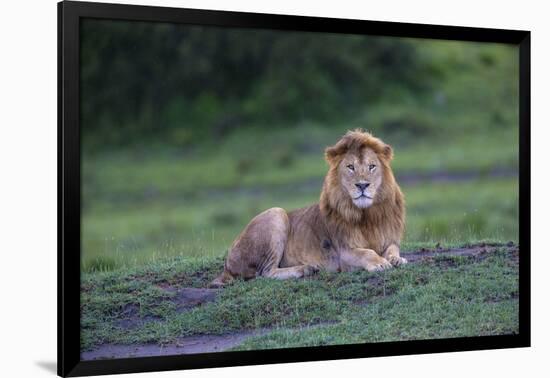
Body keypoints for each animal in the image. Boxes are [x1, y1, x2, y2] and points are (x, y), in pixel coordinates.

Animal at [209, 129, 408, 286]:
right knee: (265, 273)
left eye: (372, 166)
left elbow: (392, 250)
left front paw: (397, 259)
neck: (367, 215)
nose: (362, 185)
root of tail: (227, 265)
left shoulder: (390, 239)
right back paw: (305, 269)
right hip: (276, 213)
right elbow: (367, 252)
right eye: (350, 167)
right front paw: (380, 263)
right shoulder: (344, 253)